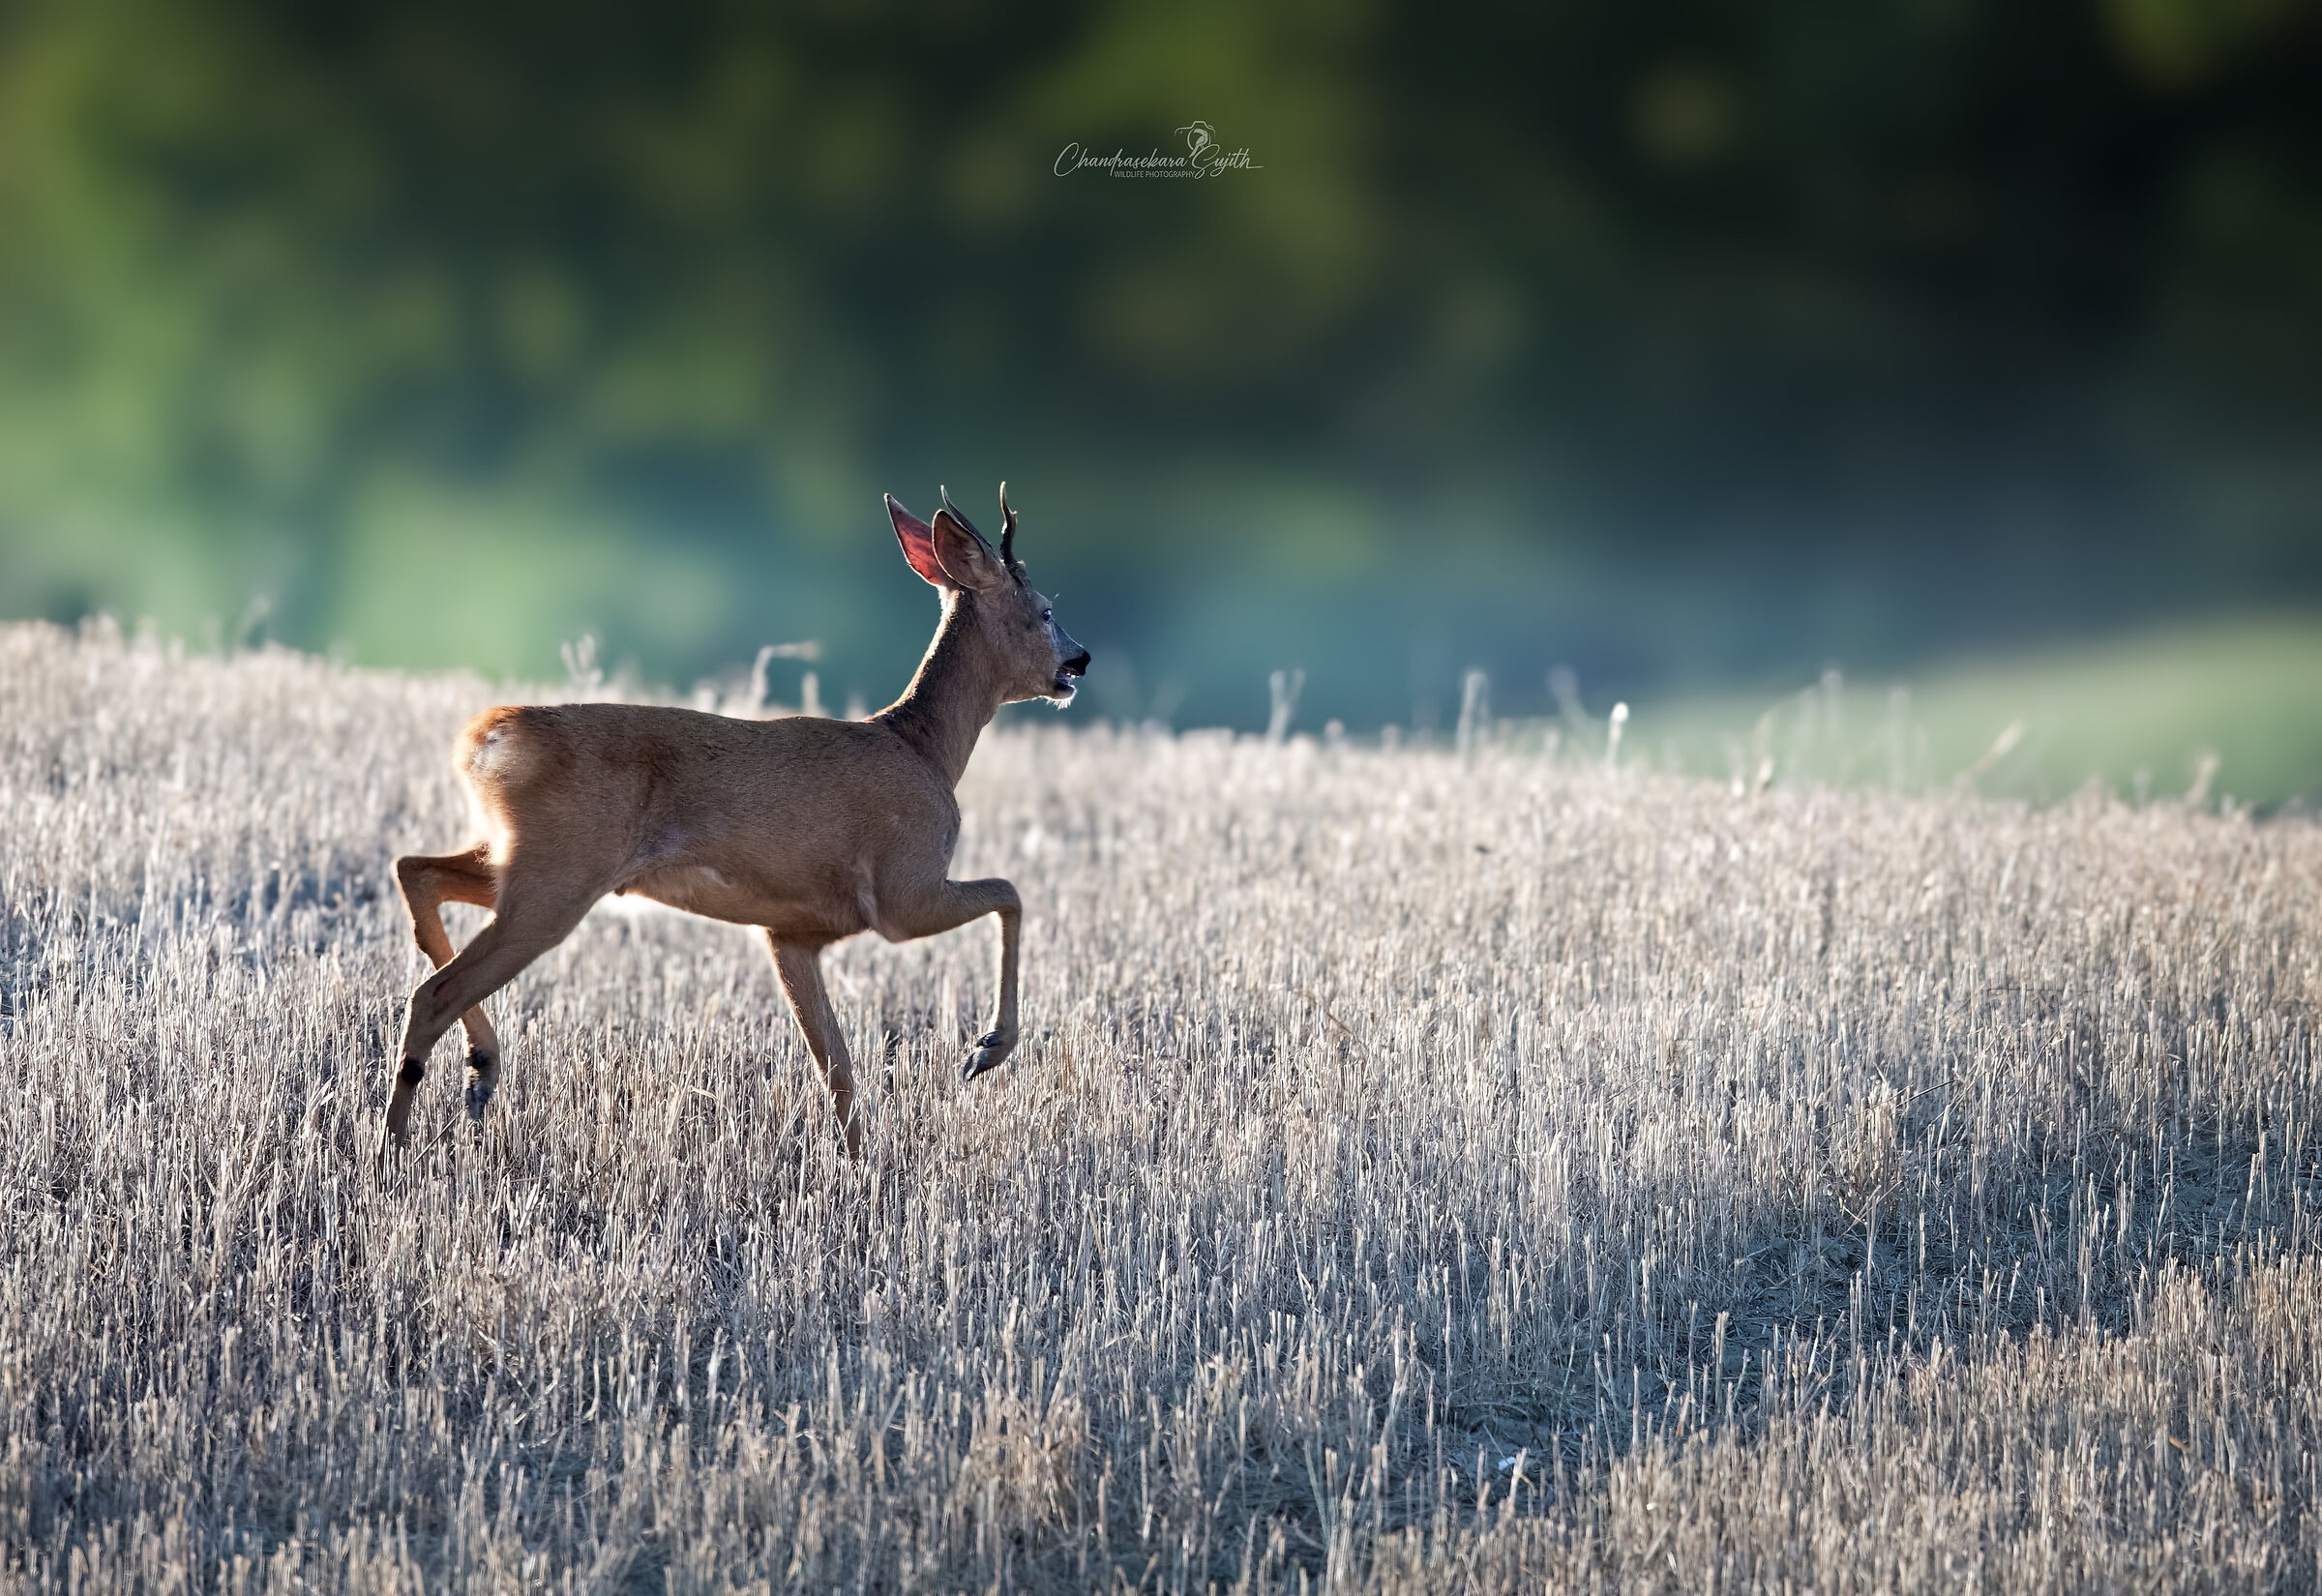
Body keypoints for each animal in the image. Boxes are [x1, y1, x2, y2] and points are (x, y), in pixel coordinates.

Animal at [383, 484, 1088, 1159]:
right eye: (1047, 610)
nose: (1078, 660)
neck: (925, 748)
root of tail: (488, 738)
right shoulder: (902, 892)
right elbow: (1011, 894)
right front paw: (988, 1049)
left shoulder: (793, 932)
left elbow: (837, 1070)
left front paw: (864, 1171)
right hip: (559, 876)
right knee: (433, 991)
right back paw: (397, 1148)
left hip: (528, 862)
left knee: (416, 871)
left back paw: (480, 1071)